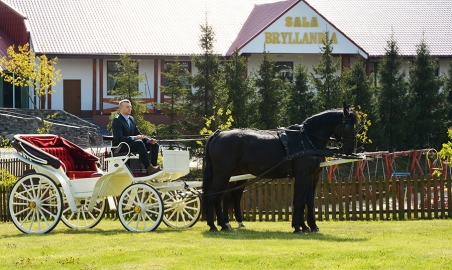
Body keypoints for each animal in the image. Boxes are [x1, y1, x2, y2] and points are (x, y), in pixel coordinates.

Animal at [202, 103, 356, 232]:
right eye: (349, 126)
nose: (350, 150)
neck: (307, 140)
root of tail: (218, 134)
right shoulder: (302, 175)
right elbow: (299, 201)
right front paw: (298, 227)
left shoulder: (313, 177)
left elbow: (309, 201)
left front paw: (310, 226)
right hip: (222, 174)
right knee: (212, 195)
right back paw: (213, 225)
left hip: (230, 175)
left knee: (221, 196)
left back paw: (224, 224)